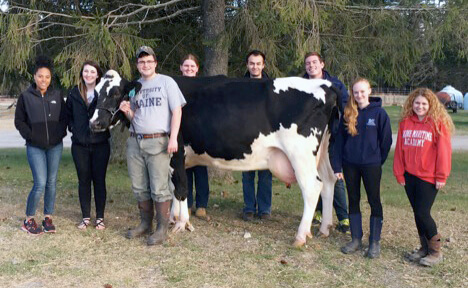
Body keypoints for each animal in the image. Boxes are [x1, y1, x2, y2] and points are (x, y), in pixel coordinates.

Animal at [90, 70, 340, 248]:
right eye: (95, 93)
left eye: (116, 93)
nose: (95, 123)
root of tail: (326, 87)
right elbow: (172, 188)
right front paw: (173, 218)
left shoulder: (176, 152)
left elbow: (181, 188)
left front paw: (182, 223)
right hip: (323, 153)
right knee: (329, 182)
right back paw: (324, 228)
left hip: (301, 154)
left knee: (312, 187)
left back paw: (301, 236)